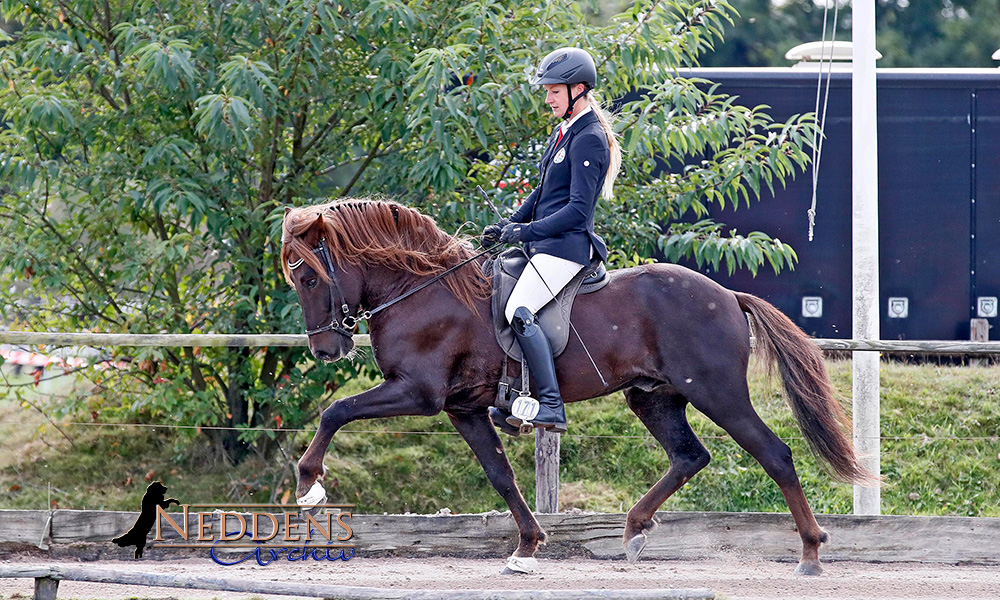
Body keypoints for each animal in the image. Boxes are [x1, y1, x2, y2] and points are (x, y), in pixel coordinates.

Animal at [278, 198, 872, 576]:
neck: (422, 288)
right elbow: (500, 476)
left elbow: (336, 411)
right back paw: (634, 530)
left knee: (774, 454)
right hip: (652, 397)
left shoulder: (417, 393)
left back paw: (811, 554)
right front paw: (527, 547)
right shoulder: (461, 409)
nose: (325, 350)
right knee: (689, 456)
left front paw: (309, 484)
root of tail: (727, 295)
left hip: (718, 394)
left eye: (307, 277)